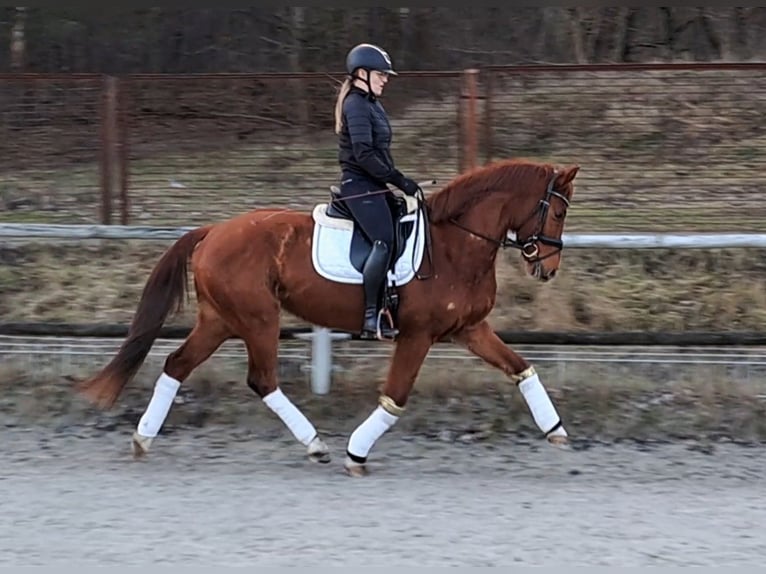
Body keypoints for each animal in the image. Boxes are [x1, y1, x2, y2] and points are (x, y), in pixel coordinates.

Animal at [79, 158, 584, 476]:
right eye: (558, 211)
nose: (548, 268)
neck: (455, 245)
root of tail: (213, 231)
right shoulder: (417, 334)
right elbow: (395, 397)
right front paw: (356, 455)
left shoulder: (468, 329)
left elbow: (521, 369)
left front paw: (557, 431)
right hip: (258, 319)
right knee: (262, 379)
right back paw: (316, 444)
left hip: (220, 320)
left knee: (177, 366)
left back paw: (143, 439)